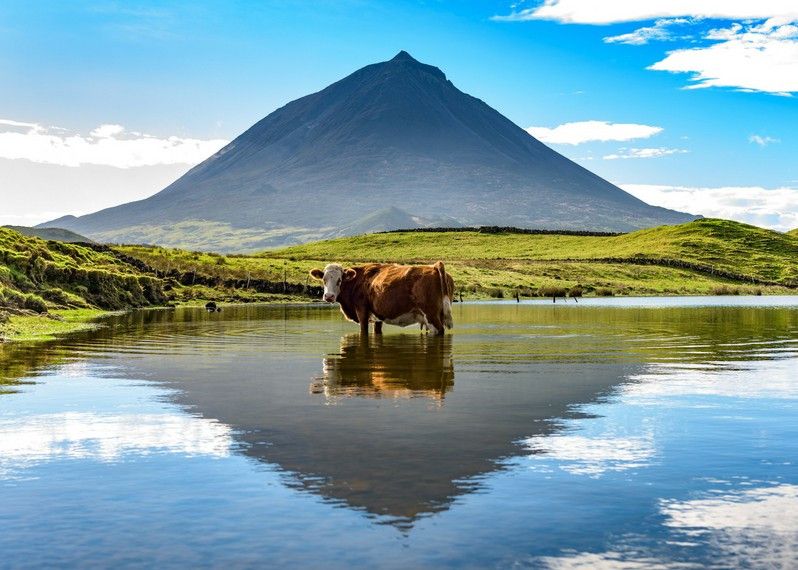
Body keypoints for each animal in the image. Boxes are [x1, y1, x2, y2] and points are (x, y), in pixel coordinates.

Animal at [309, 261, 454, 335]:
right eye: (324, 279)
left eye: (340, 280)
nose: (329, 296)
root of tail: (434, 267)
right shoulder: (377, 316)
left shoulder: (362, 311)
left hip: (431, 315)